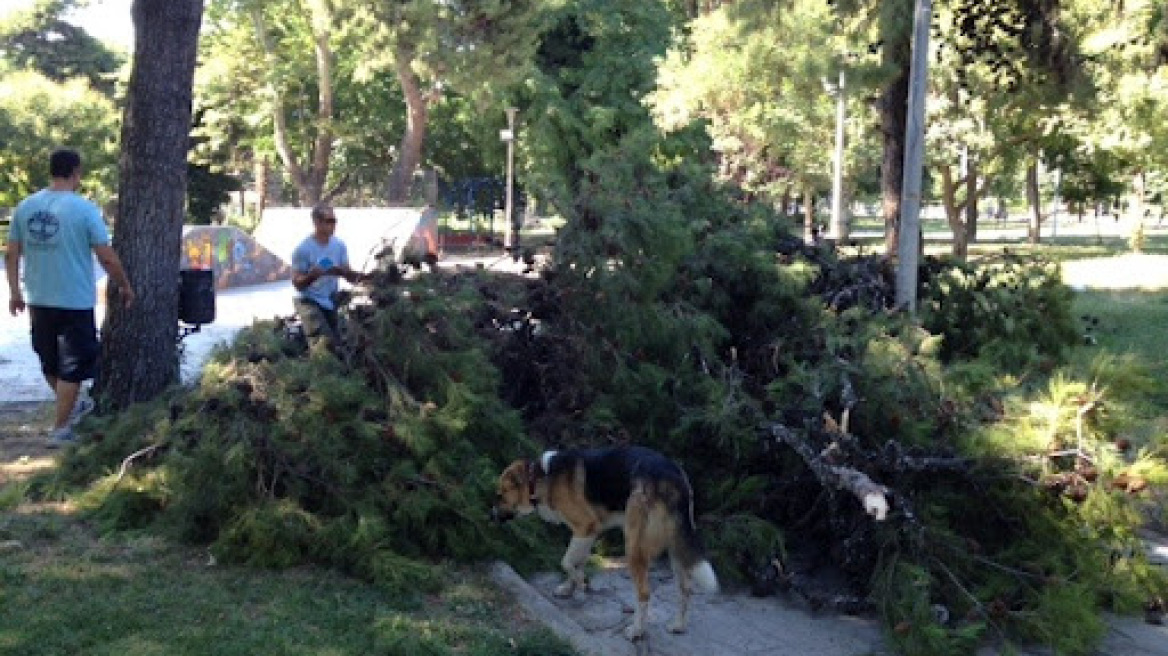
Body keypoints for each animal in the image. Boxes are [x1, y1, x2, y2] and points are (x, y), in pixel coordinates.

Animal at [488, 443, 714, 639]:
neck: (539, 477)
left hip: (634, 547)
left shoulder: (585, 527)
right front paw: (570, 587)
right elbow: (575, 563)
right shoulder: (587, 533)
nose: (490, 517)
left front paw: (581, 584)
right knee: (685, 589)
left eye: (500, 495)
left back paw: (636, 631)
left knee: (644, 594)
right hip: (676, 548)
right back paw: (678, 626)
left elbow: (566, 562)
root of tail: (672, 477)